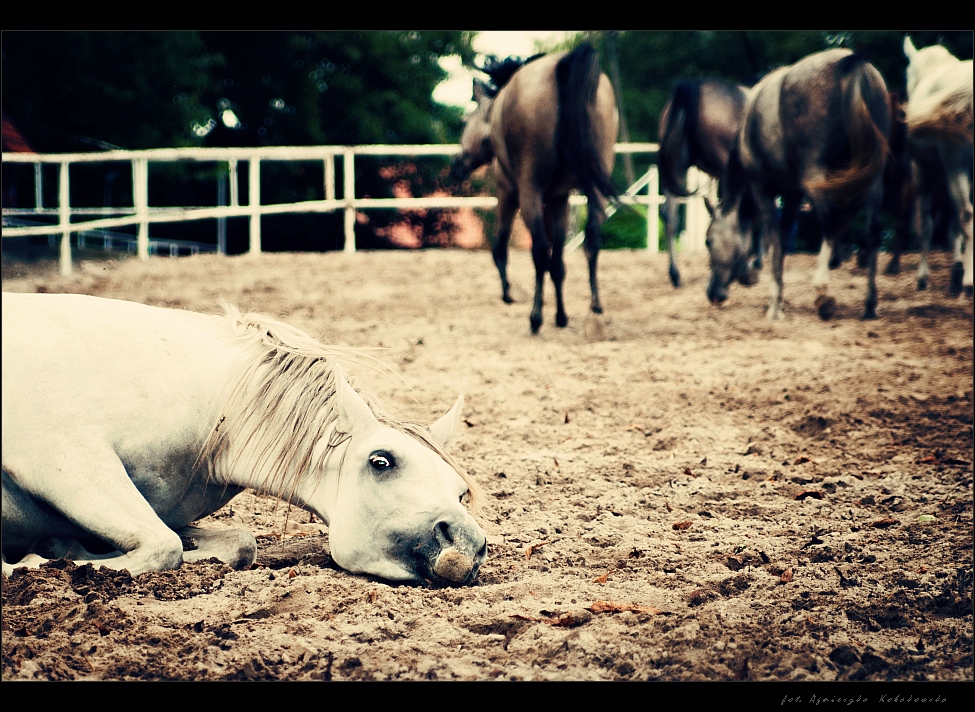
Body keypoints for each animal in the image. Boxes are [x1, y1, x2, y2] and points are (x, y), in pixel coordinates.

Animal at [0, 292, 488, 588]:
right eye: (381, 461)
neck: (214, 399)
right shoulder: (66, 458)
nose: (468, 546)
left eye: (461, 492)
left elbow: (237, 543)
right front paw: (35, 562)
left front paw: (60, 548)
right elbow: (164, 548)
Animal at [452, 43, 616, 334]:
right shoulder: (558, 199)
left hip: (527, 193)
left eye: (465, 121)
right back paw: (594, 308)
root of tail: (563, 64)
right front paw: (561, 316)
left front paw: (509, 293)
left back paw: (535, 317)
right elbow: (558, 262)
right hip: (595, 187)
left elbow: (501, 247)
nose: (456, 166)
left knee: (539, 250)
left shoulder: (508, 192)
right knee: (591, 240)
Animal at [700, 48, 892, 318]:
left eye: (708, 240)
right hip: (873, 177)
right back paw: (870, 303)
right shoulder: (792, 195)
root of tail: (850, 63)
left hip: (816, 177)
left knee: (832, 221)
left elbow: (773, 240)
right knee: (872, 231)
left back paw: (823, 292)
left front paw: (774, 304)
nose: (713, 292)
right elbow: (782, 238)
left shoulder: (762, 189)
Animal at [904, 35, 972, 298]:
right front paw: (957, 268)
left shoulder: (922, 173)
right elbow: (953, 227)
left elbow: (927, 225)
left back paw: (969, 282)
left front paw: (923, 277)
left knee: (966, 215)